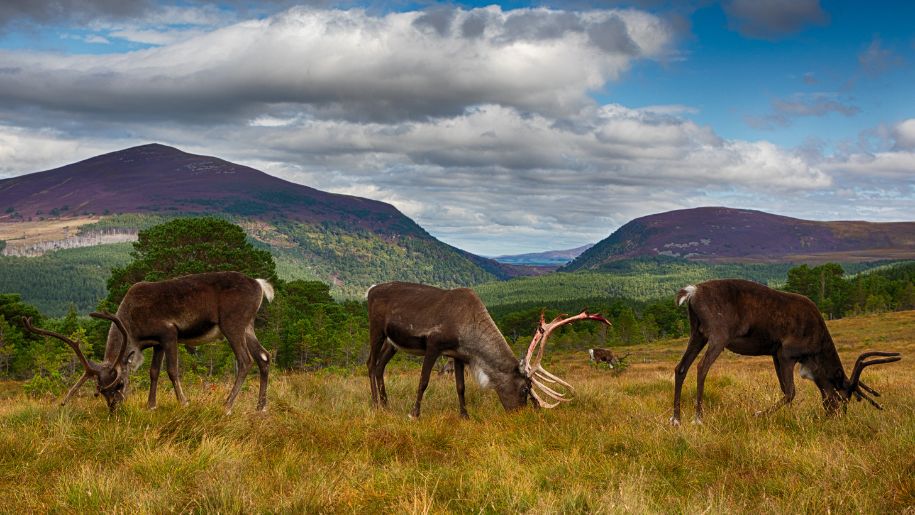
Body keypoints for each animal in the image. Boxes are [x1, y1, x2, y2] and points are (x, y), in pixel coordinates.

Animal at [24, 271, 274, 413]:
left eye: (119, 384)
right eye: (101, 391)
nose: (114, 409)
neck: (134, 327)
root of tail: (260, 285)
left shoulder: (169, 333)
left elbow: (172, 371)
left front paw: (184, 403)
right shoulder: (157, 343)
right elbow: (153, 372)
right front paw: (150, 405)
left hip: (232, 323)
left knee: (245, 360)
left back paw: (227, 405)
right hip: (248, 326)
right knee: (264, 356)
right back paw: (260, 407)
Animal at [366, 281, 610, 418]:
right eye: (525, 388)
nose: (522, 416)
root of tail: (370, 290)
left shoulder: (457, 354)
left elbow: (461, 387)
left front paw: (465, 416)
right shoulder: (434, 345)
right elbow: (423, 381)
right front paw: (414, 414)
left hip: (393, 343)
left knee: (380, 367)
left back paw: (386, 404)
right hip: (377, 330)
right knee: (370, 363)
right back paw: (376, 404)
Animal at [671, 279, 901, 426]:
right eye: (842, 396)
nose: (837, 418)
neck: (817, 342)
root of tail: (692, 292)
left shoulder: (774, 353)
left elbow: (784, 389)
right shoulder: (787, 354)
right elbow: (790, 392)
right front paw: (758, 414)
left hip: (697, 334)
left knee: (681, 368)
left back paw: (676, 420)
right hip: (718, 336)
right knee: (702, 367)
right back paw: (698, 418)